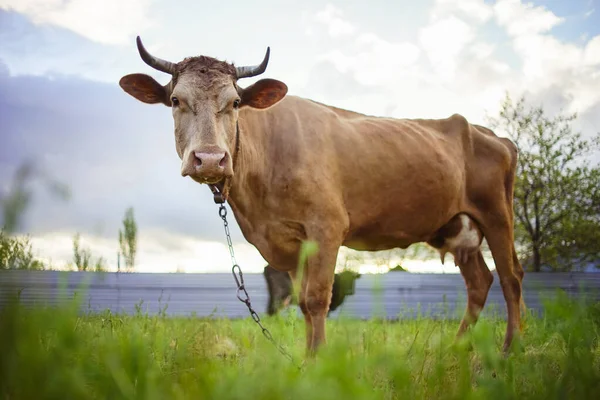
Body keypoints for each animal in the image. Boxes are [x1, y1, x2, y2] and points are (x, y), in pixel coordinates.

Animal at [120, 37, 524, 354]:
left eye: (235, 103)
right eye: (175, 100)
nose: (209, 158)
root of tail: (491, 134)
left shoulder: (327, 228)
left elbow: (317, 299)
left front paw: (319, 362)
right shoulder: (290, 241)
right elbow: (301, 302)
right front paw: (305, 360)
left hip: (497, 215)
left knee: (511, 278)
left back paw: (510, 350)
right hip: (457, 226)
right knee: (479, 282)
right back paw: (457, 347)